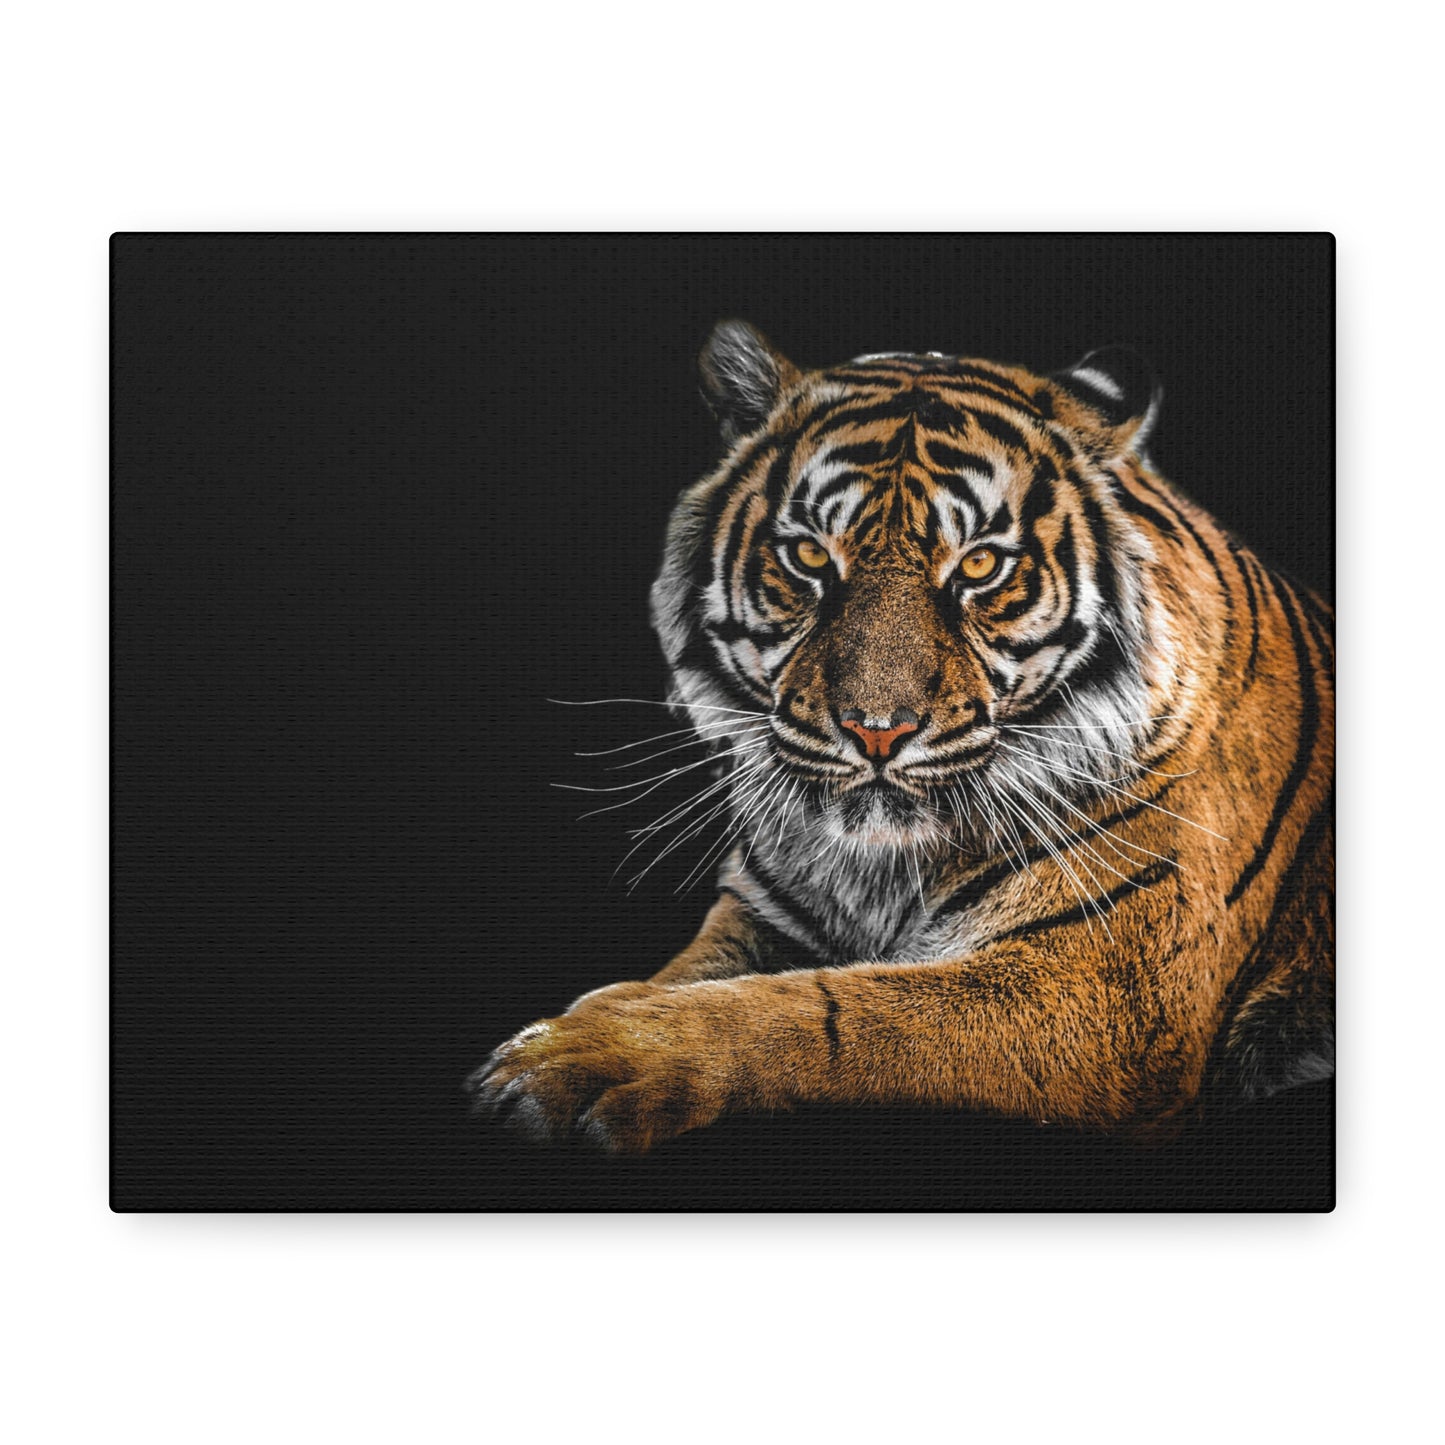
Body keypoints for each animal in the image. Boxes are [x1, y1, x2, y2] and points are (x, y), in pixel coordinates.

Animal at [467, 320, 1335, 1157]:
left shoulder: (1107, 990)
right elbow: (692, 974)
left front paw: (581, 1056)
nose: (874, 731)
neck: (878, 869)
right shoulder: (761, 914)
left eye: (979, 566)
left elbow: (830, 1007)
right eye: (808, 555)